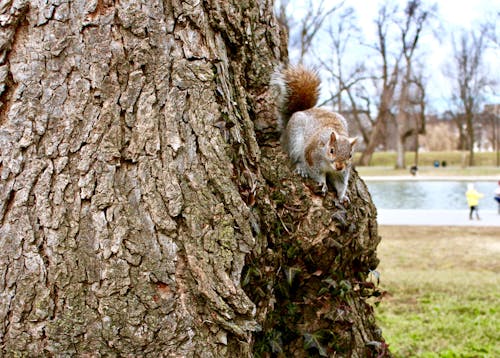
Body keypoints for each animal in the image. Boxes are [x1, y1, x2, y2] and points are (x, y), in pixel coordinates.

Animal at [272, 65, 358, 203]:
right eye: (332, 150)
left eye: (350, 155)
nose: (339, 166)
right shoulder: (311, 156)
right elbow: (316, 174)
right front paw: (323, 183)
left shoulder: (342, 172)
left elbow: (340, 184)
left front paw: (342, 196)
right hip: (295, 141)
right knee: (295, 158)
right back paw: (301, 168)